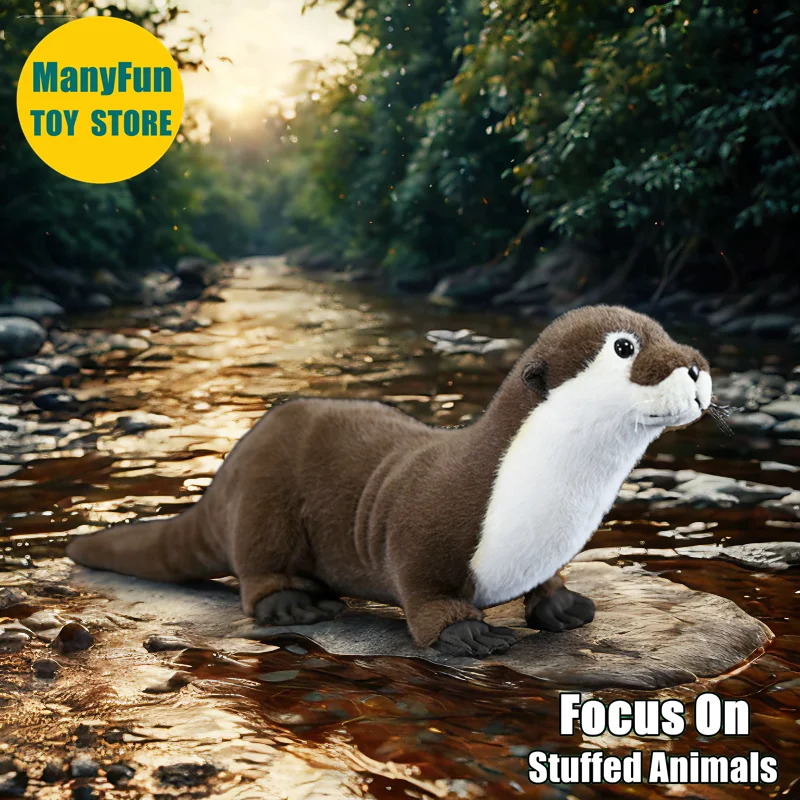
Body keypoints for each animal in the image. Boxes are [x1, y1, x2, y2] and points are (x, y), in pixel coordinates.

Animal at [67, 305, 712, 658]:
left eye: (664, 331)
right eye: (625, 348)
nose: (697, 364)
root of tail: (228, 469)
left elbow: (549, 583)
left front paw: (563, 605)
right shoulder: (423, 533)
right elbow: (421, 592)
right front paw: (467, 634)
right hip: (262, 506)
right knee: (256, 574)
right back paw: (296, 604)